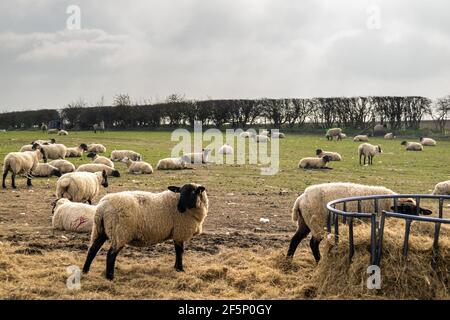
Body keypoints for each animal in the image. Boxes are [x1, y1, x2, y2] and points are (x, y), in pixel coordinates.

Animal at [288, 182, 432, 262]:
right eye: (405, 210)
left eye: (416, 211)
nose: (412, 222)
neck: (390, 203)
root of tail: (301, 199)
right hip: (316, 221)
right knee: (313, 243)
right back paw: (318, 262)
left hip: (305, 222)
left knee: (295, 239)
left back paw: (288, 261)